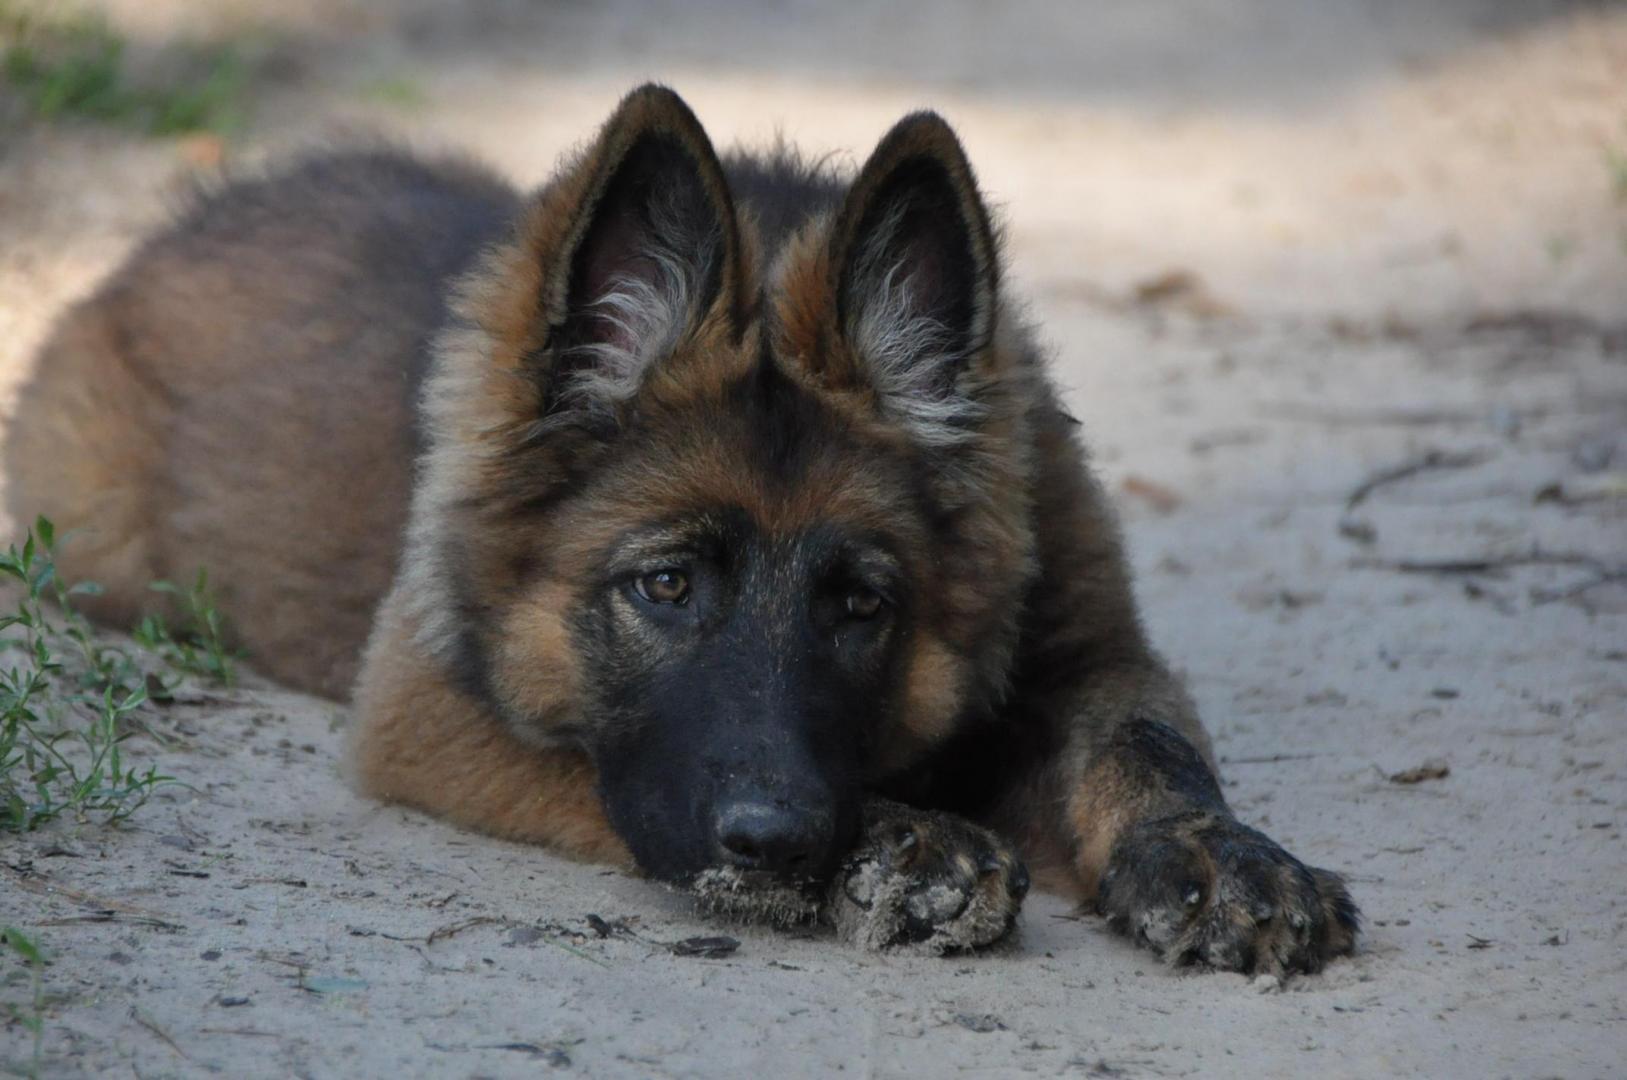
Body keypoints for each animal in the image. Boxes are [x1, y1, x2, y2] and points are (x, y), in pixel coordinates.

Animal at [5, 85, 1357, 970]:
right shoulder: (418, 710)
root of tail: (171, 229)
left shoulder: (1094, 651)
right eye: (663, 587)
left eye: (861, 603)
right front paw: (906, 843)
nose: (780, 842)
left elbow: (1147, 745)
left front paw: (1218, 855)